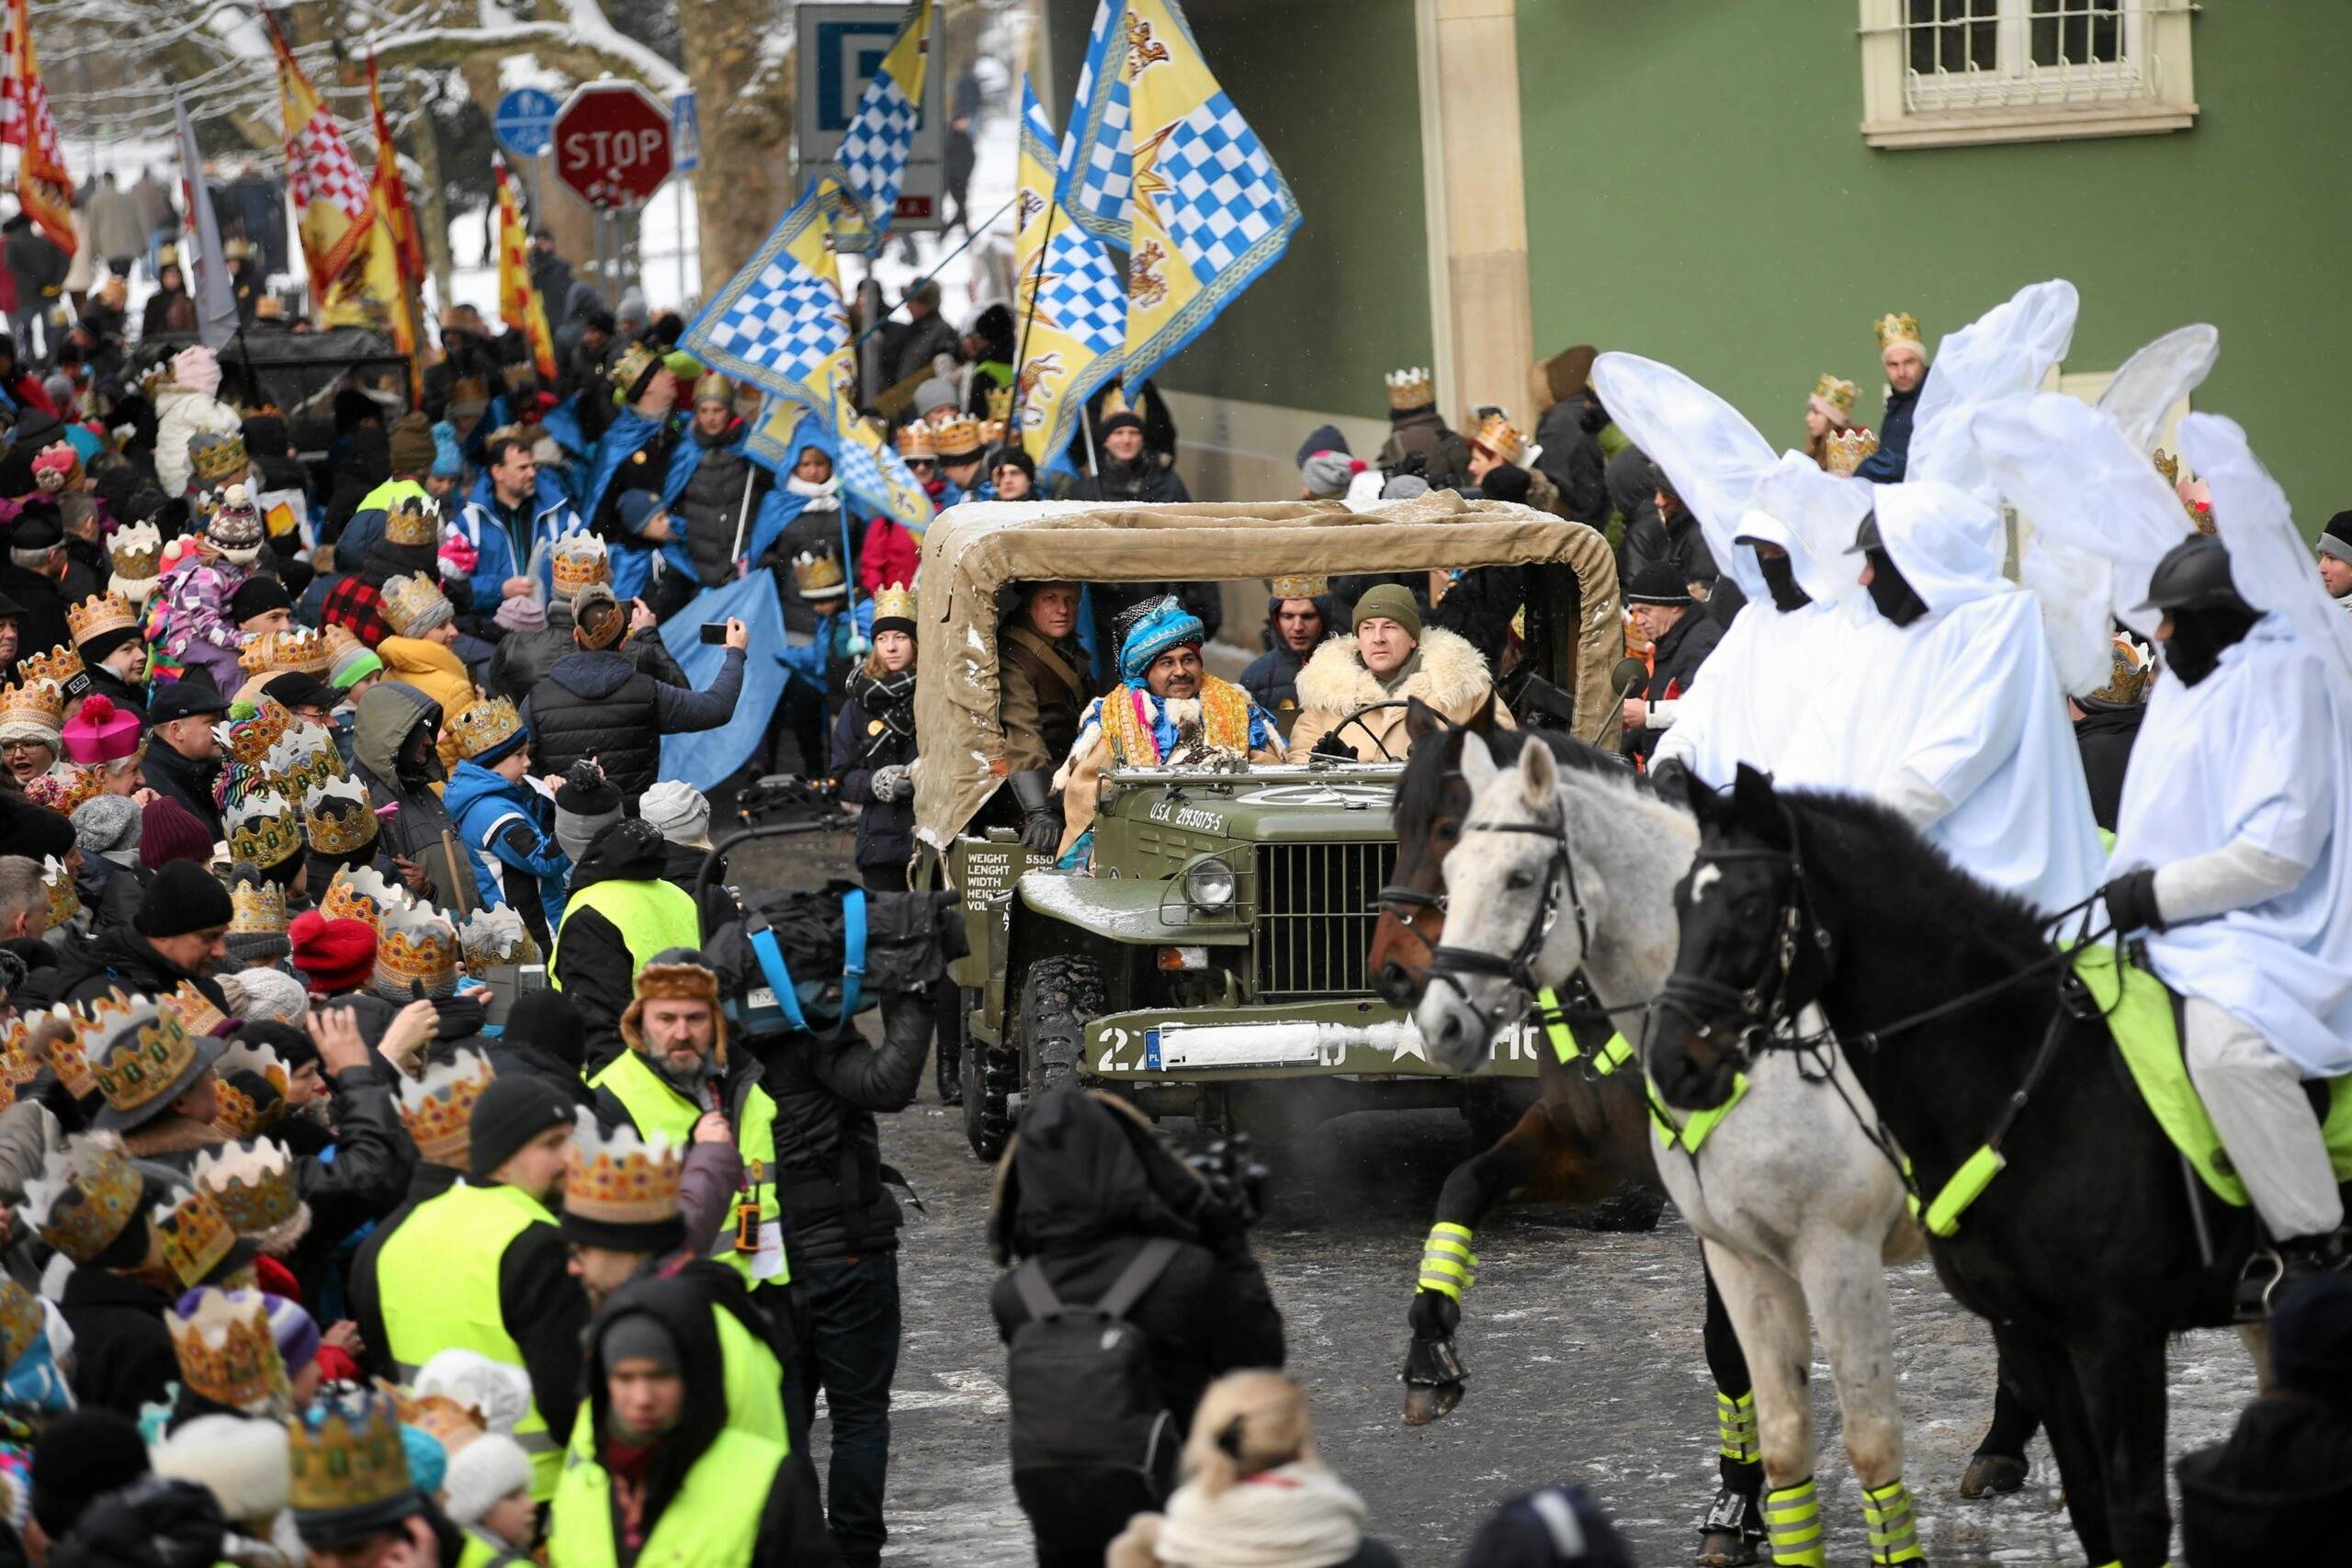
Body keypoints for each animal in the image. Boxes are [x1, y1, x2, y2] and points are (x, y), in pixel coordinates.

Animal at [1411, 742, 1928, 1568]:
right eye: (1452, 862)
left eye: (1519, 876)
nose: (1440, 1021)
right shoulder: (1592, 1153)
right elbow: (1465, 1182)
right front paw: (1428, 1349)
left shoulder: (1792, 1236)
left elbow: (1732, 1353)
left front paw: (1736, 1505)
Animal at [1656, 771, 2352, 1568]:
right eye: (1680, 901)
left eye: (1750, 903)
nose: (1672, 1064)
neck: (2032, 1083)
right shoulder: (2034, 1334)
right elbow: (2090, 1504)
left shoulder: (2117, 1338)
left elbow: (2136, 1515)